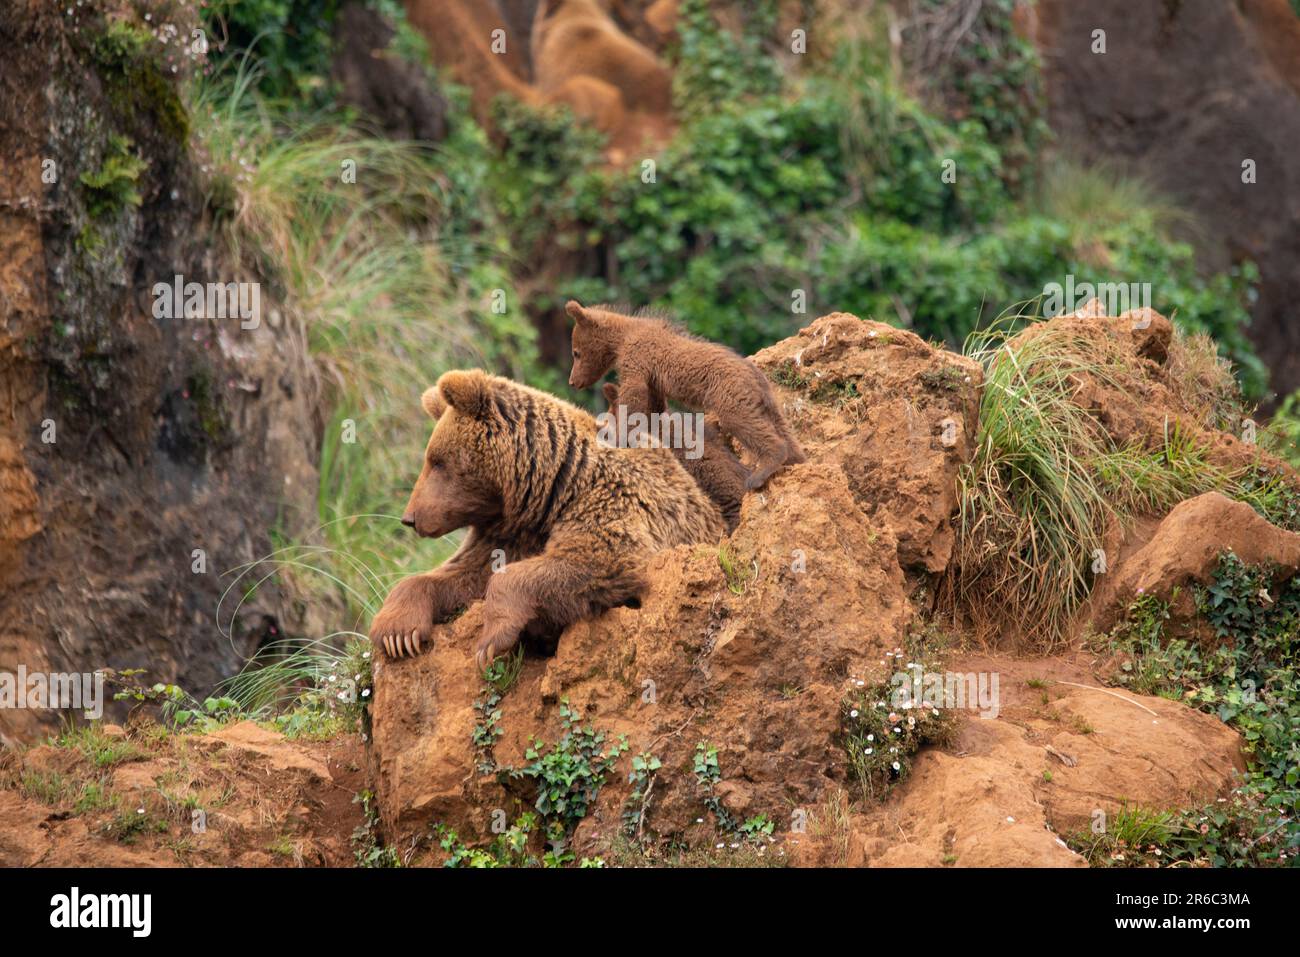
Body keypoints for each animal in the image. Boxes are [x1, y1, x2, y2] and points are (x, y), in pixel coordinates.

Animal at [368, 369, 725, 668]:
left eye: (438, 462)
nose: (410, 518)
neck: (548, 490)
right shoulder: (510, 532)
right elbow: (464, 573)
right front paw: (397, 633)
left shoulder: (606, 501)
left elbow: (595, 561)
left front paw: (490, 641)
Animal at [566, 300, 807, 489]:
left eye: (576, 353)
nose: (573, 381)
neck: (623, 338)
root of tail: (757, 377)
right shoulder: (654, 380)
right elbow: (654, 405)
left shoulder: (637, 359)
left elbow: (633, 394)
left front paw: (619, 434)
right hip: (767, 402)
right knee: (782, 428)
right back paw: (797, 460)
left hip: (730, 394)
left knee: (745, 423)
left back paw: (760, 474)